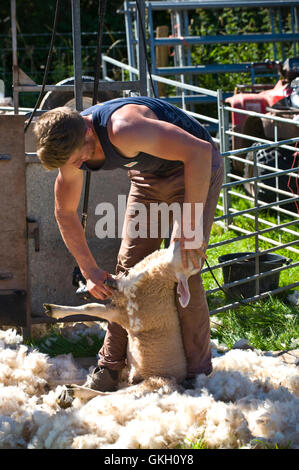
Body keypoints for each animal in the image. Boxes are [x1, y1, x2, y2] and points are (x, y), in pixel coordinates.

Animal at [44, 241, 204, 392]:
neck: (158, 279)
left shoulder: (123, 314)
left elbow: (90, 307)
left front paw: (54, 310)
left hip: (152, 380)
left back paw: (73, 390)